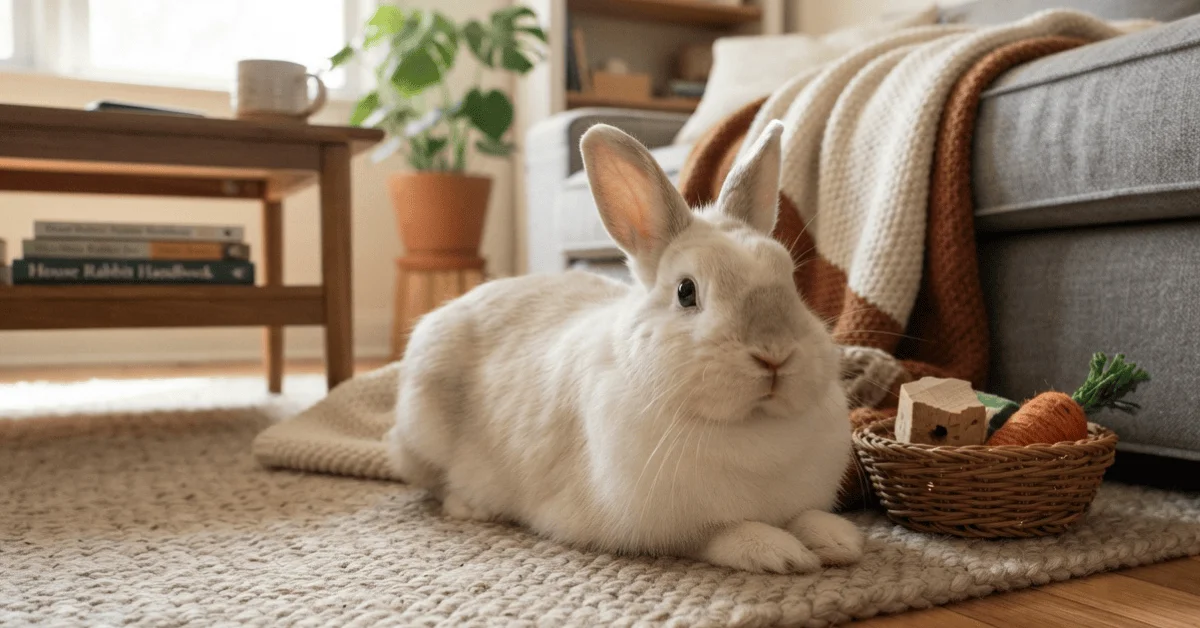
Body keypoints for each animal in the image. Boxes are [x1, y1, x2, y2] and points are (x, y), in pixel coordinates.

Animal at [387, 120, 862, 574]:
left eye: (791, 279)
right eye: (686, 292)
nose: (774, 353)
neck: (752, 426)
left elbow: (806, 516)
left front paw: (839, 540)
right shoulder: (669, 527)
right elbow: (722, 533)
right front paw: (780, 552)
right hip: (423, 431)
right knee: (438, 486)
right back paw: (472, 506)